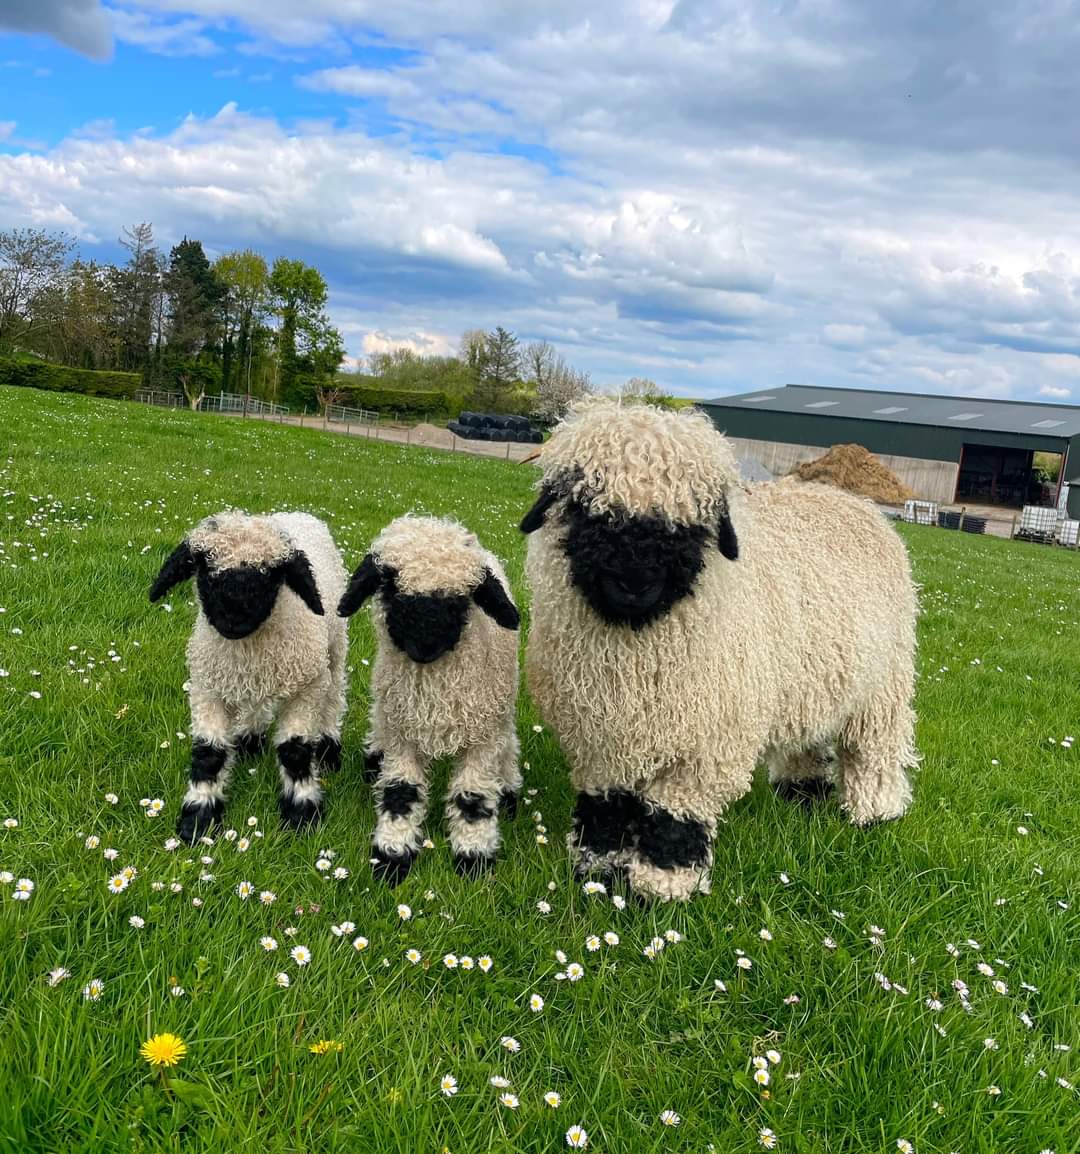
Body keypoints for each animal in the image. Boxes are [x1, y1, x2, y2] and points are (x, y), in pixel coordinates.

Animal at [148, 510, 346, 844]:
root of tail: (296, 513)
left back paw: (329, 748)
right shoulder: (208, 687)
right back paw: (250, 740)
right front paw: (198, 818)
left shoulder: (307, 688)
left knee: (334, 695)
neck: (248, 646)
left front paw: (302, 813)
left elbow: (295, 751)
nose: (233, 620)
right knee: (256, 703)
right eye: (205, 568)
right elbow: (208, 753)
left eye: (269, 574)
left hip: (334, 649)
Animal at [339, 514, 521, 881]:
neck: (434, 693)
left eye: (461, 599)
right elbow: (400, 792)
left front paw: (473, 857)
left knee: (509, 745)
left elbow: (473, 798)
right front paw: (391, 854)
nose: (424, 647)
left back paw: (509, 790)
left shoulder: (482, 739)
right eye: (390, 587)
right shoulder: (402, 734)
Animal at [519, 396, 913, 900]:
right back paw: (802, 794)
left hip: (883, 686)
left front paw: (661, 887)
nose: (634, 581)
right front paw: (595, 868)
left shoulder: (705, 744)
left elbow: (674, 818)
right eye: (587, 506)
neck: (635, 655)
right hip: (817, 679)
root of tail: (854, 502)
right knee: (808, 738)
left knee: (873, 748)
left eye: (691, 522)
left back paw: (874, 812)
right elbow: (605, 806)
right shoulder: (599, 738)